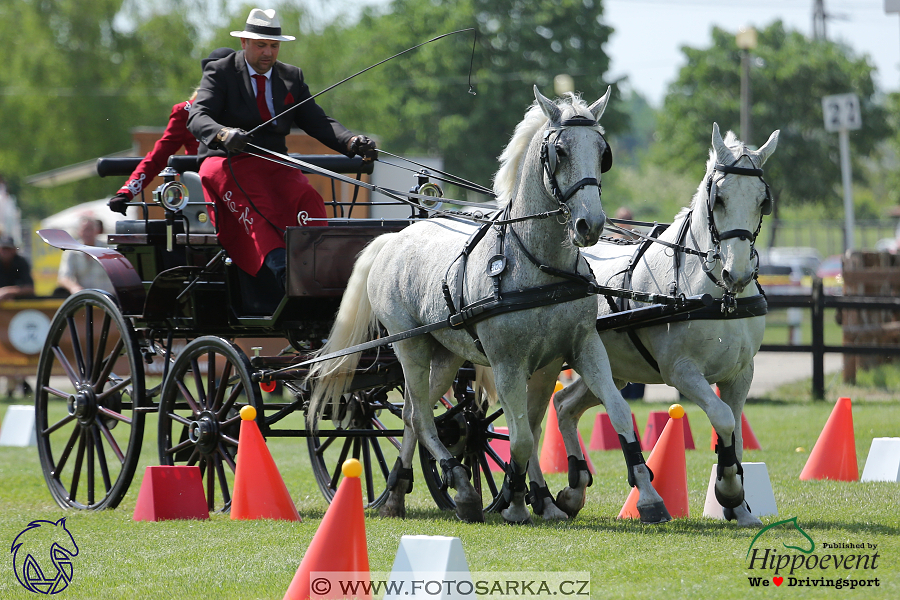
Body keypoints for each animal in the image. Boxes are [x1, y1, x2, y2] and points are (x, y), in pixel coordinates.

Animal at [308, 86, 668, 524]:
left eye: (603, 152)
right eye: (560, 151)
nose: (591, 225)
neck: (537, 265)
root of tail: (394, 237)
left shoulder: (574, 350)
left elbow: (608, 415)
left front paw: (644, 497)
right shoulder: (508, 362)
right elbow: (522, 437)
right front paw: (515, 501)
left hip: (444, 353)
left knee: (413, 413)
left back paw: (398, 491)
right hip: (408, 344)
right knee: (421, 415)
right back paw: (459, 485)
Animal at [532, 124, 776, 528]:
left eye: (762, 201)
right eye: (719, 199)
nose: (737, 273)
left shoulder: (741, 374)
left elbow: (737, 435)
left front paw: (740, 506)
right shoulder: (681, 372)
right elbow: (723, 418)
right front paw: (728, 491)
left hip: (609, 369)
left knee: (563, 405)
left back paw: (573, 489)